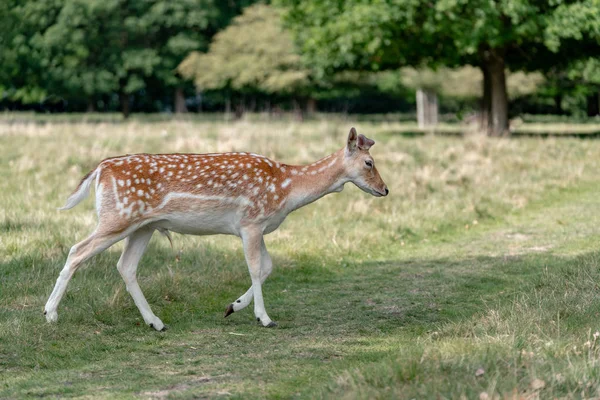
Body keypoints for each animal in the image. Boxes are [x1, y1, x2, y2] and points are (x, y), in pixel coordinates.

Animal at [43, 129, 390, 332]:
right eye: (369, 162)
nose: (385, 189)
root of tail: (99, 170)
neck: (287, 189)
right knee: (77, 250)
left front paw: (232, 307)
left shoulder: (257, 227)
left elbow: (268, 267)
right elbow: (255, 268)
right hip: (117, 217)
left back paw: (156, 322)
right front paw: (264, 318)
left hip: (144, 226)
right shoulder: (251, 221)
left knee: (125, 266)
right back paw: (50, 314)